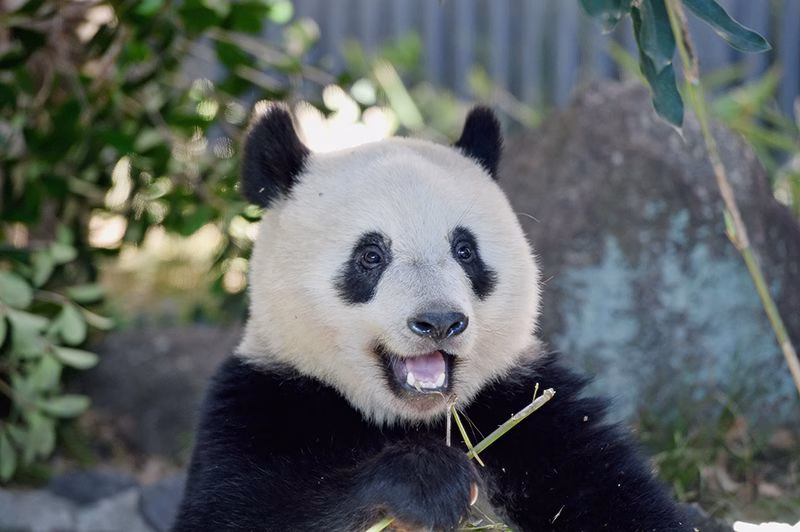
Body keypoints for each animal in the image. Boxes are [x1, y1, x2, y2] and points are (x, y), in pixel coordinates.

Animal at [173, 105, 690, 531]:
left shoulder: (532, 414)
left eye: (464, 251)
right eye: (371, 256)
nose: (439, 322)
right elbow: (237, 512)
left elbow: (620, 503)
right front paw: (429, 480)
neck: (410, 420)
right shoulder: (265, 402)